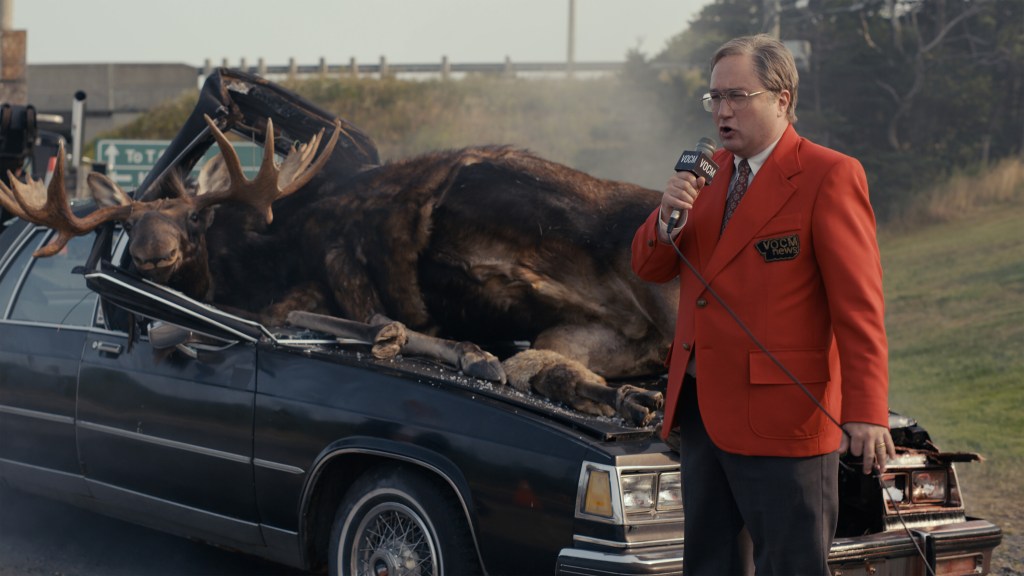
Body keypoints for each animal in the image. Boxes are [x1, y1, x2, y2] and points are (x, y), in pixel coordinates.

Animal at [2, 73, 679, 424]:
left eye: (193, 217)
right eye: (131, 221)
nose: (148, 255)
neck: (229, 273)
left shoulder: (305, 288)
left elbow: (356, 317)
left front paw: (456, 350)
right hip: (586, 334)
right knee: (553, 362)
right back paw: (625, 396)